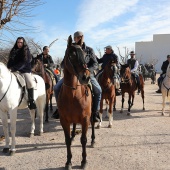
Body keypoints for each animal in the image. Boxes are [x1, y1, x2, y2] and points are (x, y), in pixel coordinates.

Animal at [57, 35, 95, 169]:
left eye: (85, 54)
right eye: (72, 55)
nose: (85, 77)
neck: (73, 96)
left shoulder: (85, 119)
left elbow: (83, 140)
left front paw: (84, 161)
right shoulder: (64, 120)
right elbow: (67, 140)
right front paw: (68, 161)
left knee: (93, 124)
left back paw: (93, 140)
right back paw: (73, 135)